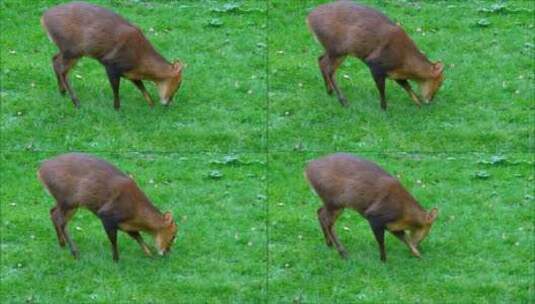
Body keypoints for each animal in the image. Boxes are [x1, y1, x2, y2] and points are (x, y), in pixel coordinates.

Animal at [38, 153, 180, 262]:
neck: (136, 211)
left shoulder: (125, 225)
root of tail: (40, 170)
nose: (166, 252)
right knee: (61, 221)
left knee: (53, 212)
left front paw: (149, 254)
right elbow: (114, 240)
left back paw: (62, 244)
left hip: (68, 203)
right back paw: (75, 252)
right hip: (69, 199)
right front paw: (116, 260)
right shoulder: (107, 215)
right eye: (173, 235)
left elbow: (137, 237)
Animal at [40, 0, 183, 110]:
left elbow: (141, 86)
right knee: (62, 70)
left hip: (68, 50)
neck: (140, 59)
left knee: (55, 59)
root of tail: (43, 18)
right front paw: (117, 108)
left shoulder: (130, 73)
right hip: (72, 50)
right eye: (179, 83)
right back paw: (76, 102)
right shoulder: (111, 64)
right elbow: (116, 88)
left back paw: (62, 92)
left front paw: (151, 105)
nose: (167, 103)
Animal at [306, 153, 440, 262]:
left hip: (331, 202)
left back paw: (329, 244)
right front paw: (383, 260)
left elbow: (405, 239)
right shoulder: (375, 216)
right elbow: (381, 241)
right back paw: (343, 253)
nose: (419, 245)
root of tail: (307, 169)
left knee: (320, 212)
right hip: (335, 201)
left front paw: (419, 256)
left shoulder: (391, 225)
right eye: (428, 229)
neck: (404, 212)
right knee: (327, 221)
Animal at [308, 0, 446, 110]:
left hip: (333, 50)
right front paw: (384, 108)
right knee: (329, 70)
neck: (405, 60)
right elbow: (382, 88)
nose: (429, 100)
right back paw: (343, 101)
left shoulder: (394, 72)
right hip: (338, 49)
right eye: (439, 82)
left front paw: (418, 104)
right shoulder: (375, 64)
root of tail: (309, 18)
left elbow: (406, 85)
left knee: (321, 60)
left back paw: (329, 91)